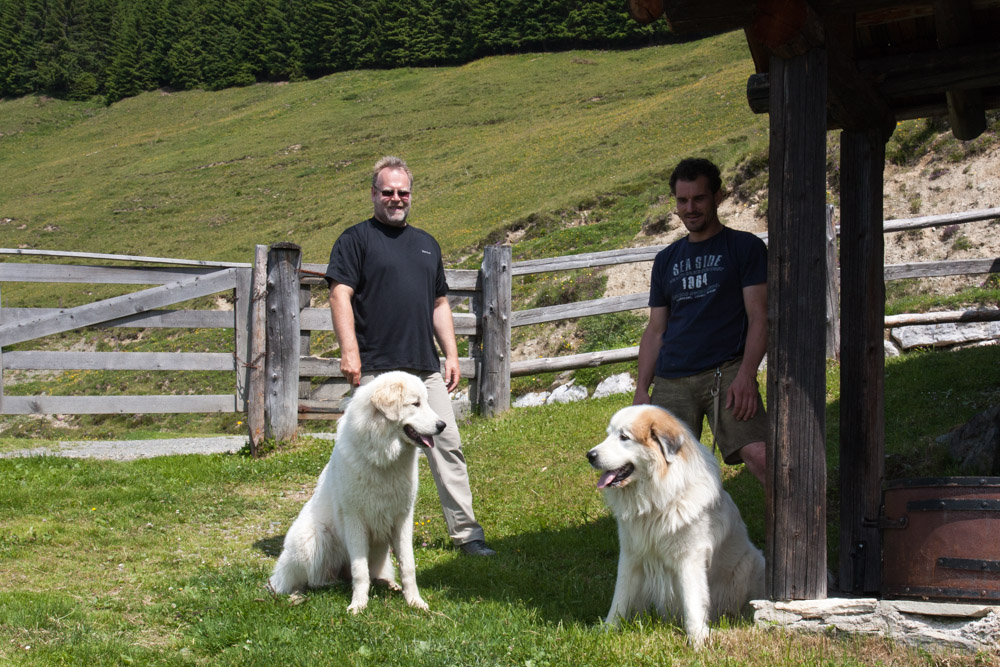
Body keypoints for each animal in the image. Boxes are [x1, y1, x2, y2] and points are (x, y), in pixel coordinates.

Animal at [268, 374, 444, 612]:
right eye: (415, 404)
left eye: (426, 401)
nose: (442, 425)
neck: (383, 458)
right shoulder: (355, 519)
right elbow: (360, 571)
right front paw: (359, 605)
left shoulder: (403, 519)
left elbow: (408, 565)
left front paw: (415, 601)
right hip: (312, 539)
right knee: (309, 581)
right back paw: (300, 594)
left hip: (380, 550)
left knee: (369, 574)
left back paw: (389, 584)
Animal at [584, 404, 764, 648]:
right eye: (609, 434)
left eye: (624, 437)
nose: (590, 455)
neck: (655, 500)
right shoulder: (630, 555)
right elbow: (620, 597)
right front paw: (607, 629)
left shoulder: (689, 558)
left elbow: (692, 601)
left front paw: (697, 641)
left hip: (751, 562)